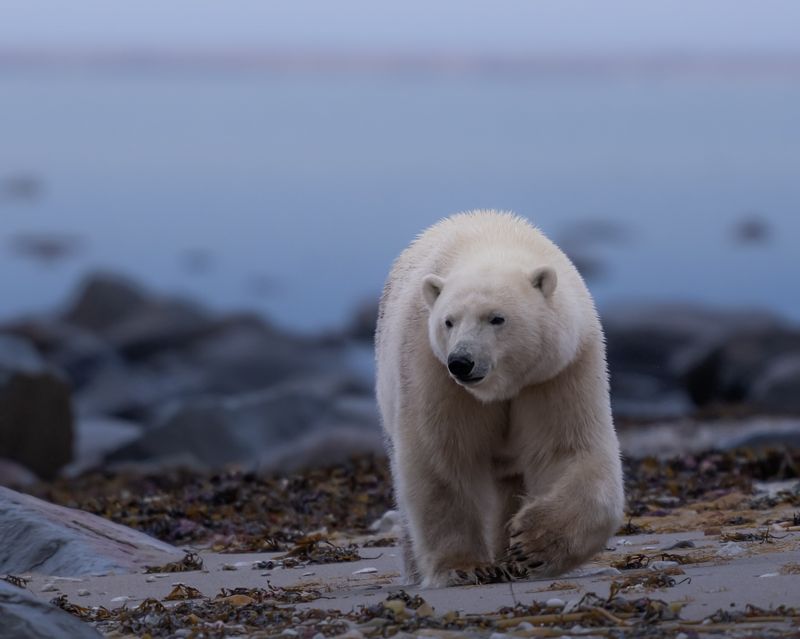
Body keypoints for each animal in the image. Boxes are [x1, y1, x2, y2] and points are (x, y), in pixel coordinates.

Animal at [376, 211, 624, 592]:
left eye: (496, 318)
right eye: (448, 321)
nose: (461, 362)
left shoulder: (557, 371)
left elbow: (569, 450)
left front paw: (531, 544)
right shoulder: (432, 371)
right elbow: (442, 457)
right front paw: (464, 567)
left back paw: (508, 558)